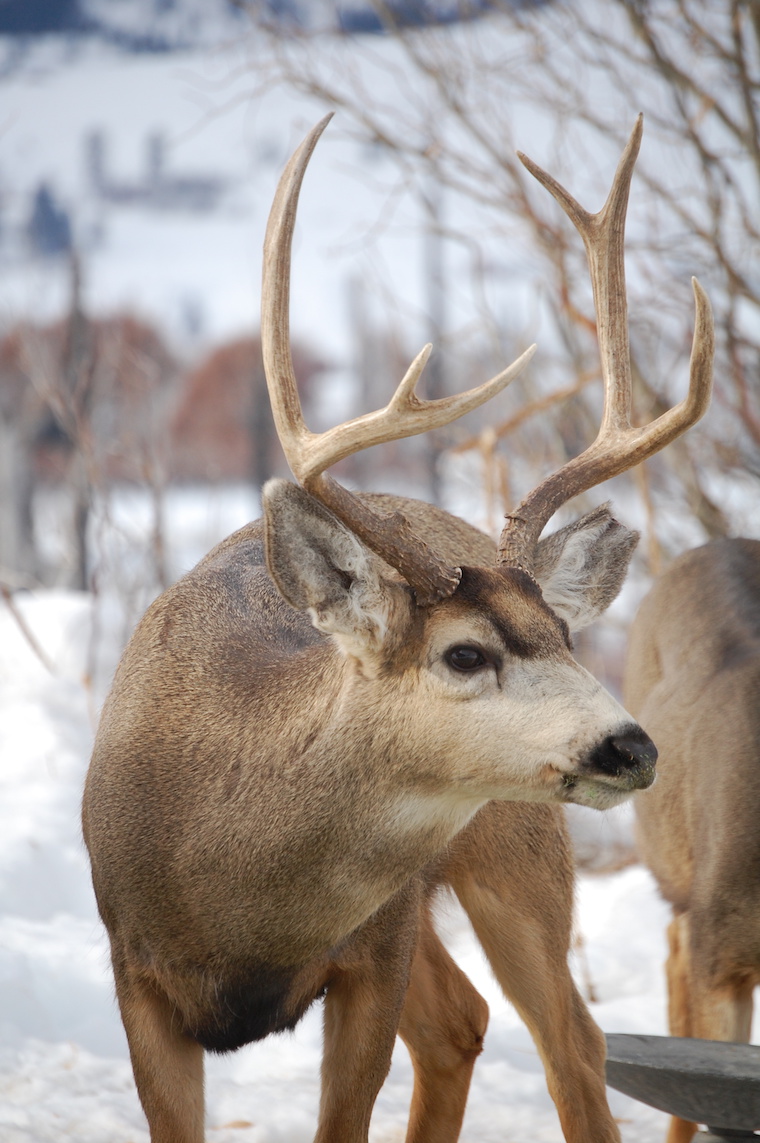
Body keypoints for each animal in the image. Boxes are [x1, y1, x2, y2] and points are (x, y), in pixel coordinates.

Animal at [82, 113, 713, 1143]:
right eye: (465, 653)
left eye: (565, 636)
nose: (630, 744)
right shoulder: (136, 974)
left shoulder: (373, 952)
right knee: (465, 1022)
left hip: (513, 854)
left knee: (570, 1040)